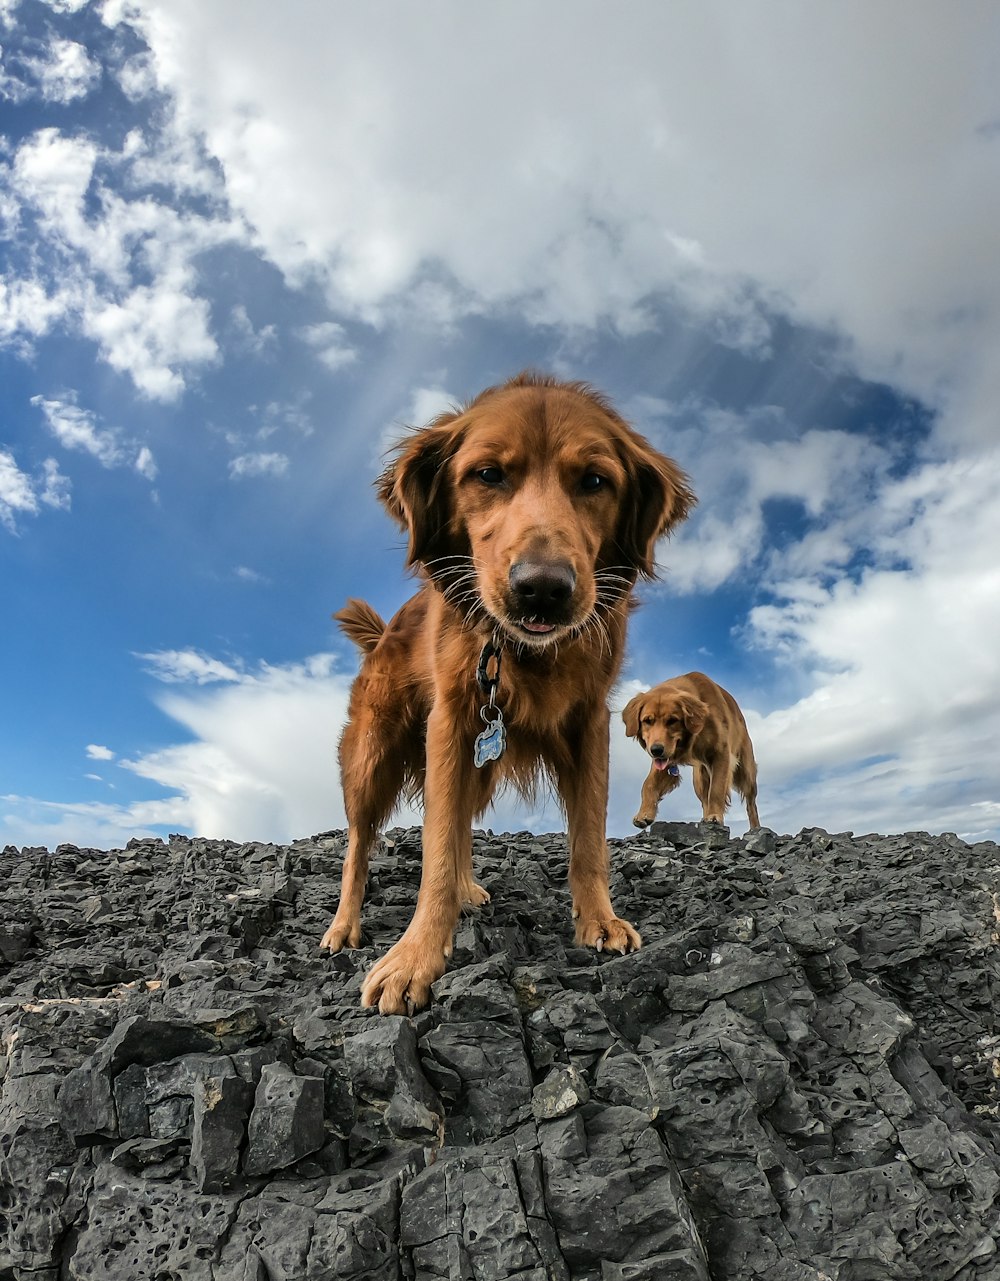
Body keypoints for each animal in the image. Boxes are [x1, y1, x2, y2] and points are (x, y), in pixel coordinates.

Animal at [323, 371, 691, 1009]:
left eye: (595, 481)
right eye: (488, 474)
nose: (542, 589)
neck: (522, 654)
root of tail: (385, 632)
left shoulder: (589, 722)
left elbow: (588, 837)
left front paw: (598, 920)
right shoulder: (450, 720)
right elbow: (435, 846)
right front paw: (416, 955)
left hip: (479, 762)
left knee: (461, 822)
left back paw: (468, 889)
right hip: (373, 752)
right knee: (359, 842)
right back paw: (345, 924)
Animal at [619, 671, 763, 830]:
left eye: (672, 720)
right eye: (647, 721)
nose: (656, 750)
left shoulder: (721, 754)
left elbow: (716, 789)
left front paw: (715, 816)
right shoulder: (665, 761)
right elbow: (648, 784)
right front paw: (644, 813)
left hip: (746, 773)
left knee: (751, 804)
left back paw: (755, 827)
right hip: (699, 778)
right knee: (704, 799)